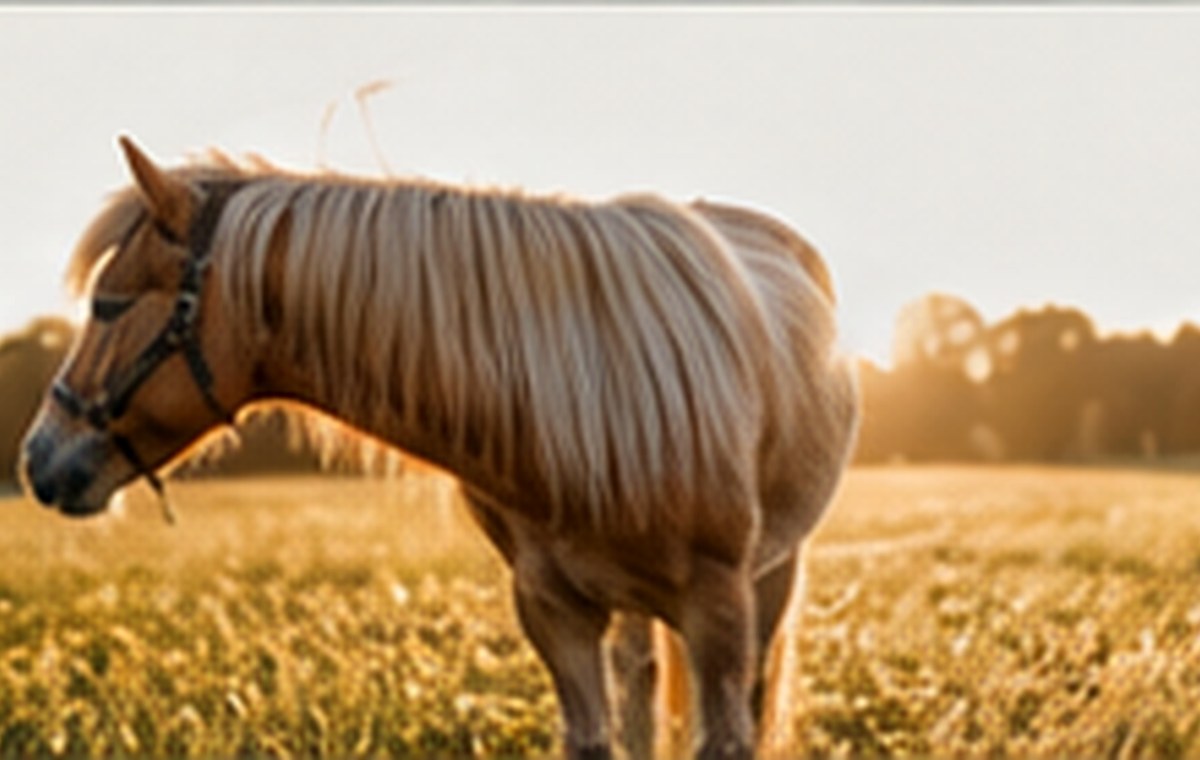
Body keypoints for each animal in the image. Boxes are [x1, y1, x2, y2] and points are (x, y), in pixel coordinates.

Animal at [21, 136, 859, 760]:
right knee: (641, 679)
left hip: (770, 577)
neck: (590, 401)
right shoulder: (553, 607)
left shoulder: (720, 606)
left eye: (110, 304)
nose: (38, 458)